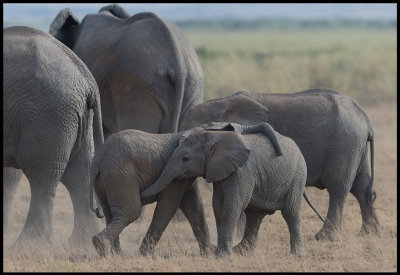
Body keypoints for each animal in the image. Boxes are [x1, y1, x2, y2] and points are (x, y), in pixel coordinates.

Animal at [3, 25, 103, 248]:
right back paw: (82, 245)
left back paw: (26, 246)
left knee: (41, 175)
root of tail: (87, 80)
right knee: (80, 173)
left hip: (48, 116)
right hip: (77, 117)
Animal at [88, 122, 282, 258]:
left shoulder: (184, 174)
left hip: (107, 181)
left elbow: (193, 206)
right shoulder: (175, 173)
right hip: (120, 177)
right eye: (230, 127)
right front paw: (145, 255)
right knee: (130, 211)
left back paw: (114, 254)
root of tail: (97, 162)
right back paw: (101, 246)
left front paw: (208, 253)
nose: (280, 153)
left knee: (111, 214)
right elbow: (169, 206)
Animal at [141, 123, 318, 258]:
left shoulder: (242, 171)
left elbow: (233, 205)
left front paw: (223, 257)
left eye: (186, 159)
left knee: (290, 213)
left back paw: (298, 255)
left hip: (297, 177)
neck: (216, 139)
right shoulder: (220, 170)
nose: (140, 194)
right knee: (254, 216)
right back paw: (242, 252)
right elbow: (218, 205)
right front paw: (222, 253)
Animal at [179, 88, 382, 242]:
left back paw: (324, 237)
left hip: (343, 145)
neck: (222, 102)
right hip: (355, 146)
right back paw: (369, 234)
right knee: (362, 187)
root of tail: (365, 118)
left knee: (338, 188)